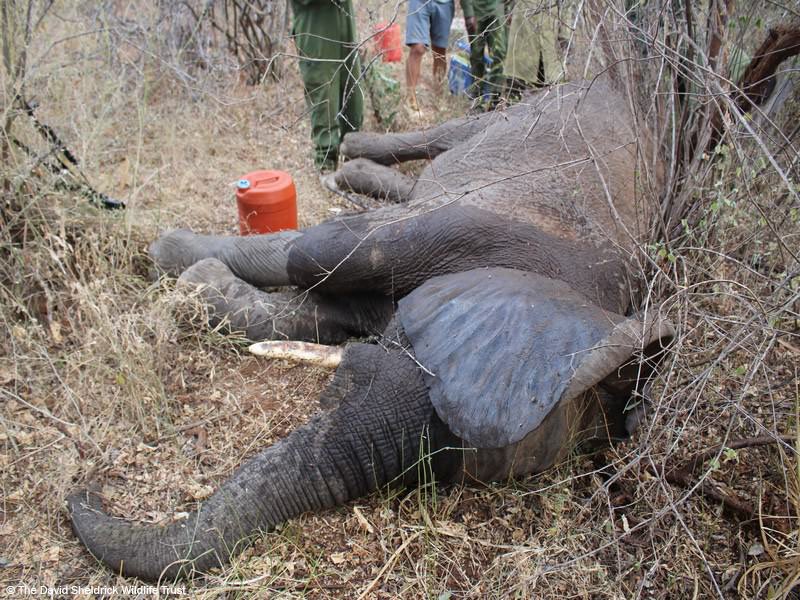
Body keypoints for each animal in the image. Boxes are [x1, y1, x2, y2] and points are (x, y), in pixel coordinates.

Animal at [67, 76, 674, 582]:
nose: (85, 494)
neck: (564, 285)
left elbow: (318, 311)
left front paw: (197, 280)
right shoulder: (473, 229)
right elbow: (313, 250)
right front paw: (172, 256)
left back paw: (352, 174)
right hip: (530, 108)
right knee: (445, 137)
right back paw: (351, 154)